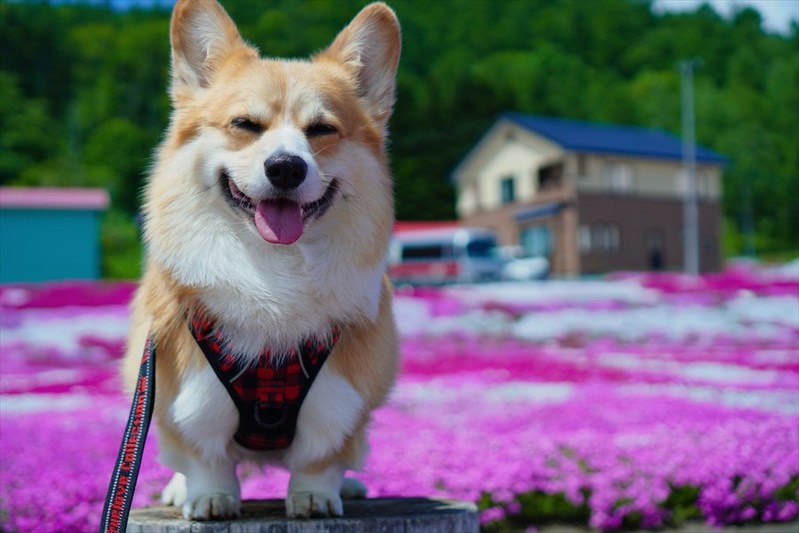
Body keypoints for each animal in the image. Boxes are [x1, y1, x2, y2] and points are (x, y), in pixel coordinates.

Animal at [121, 0, 400, 516]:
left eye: (322, 130)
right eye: (245, 125)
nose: (286, 167)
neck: (273, 266)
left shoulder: (341, 401)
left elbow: (320, 459)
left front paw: (315, 497)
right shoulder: (181, 396)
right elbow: (204, 458)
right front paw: (210, 498)